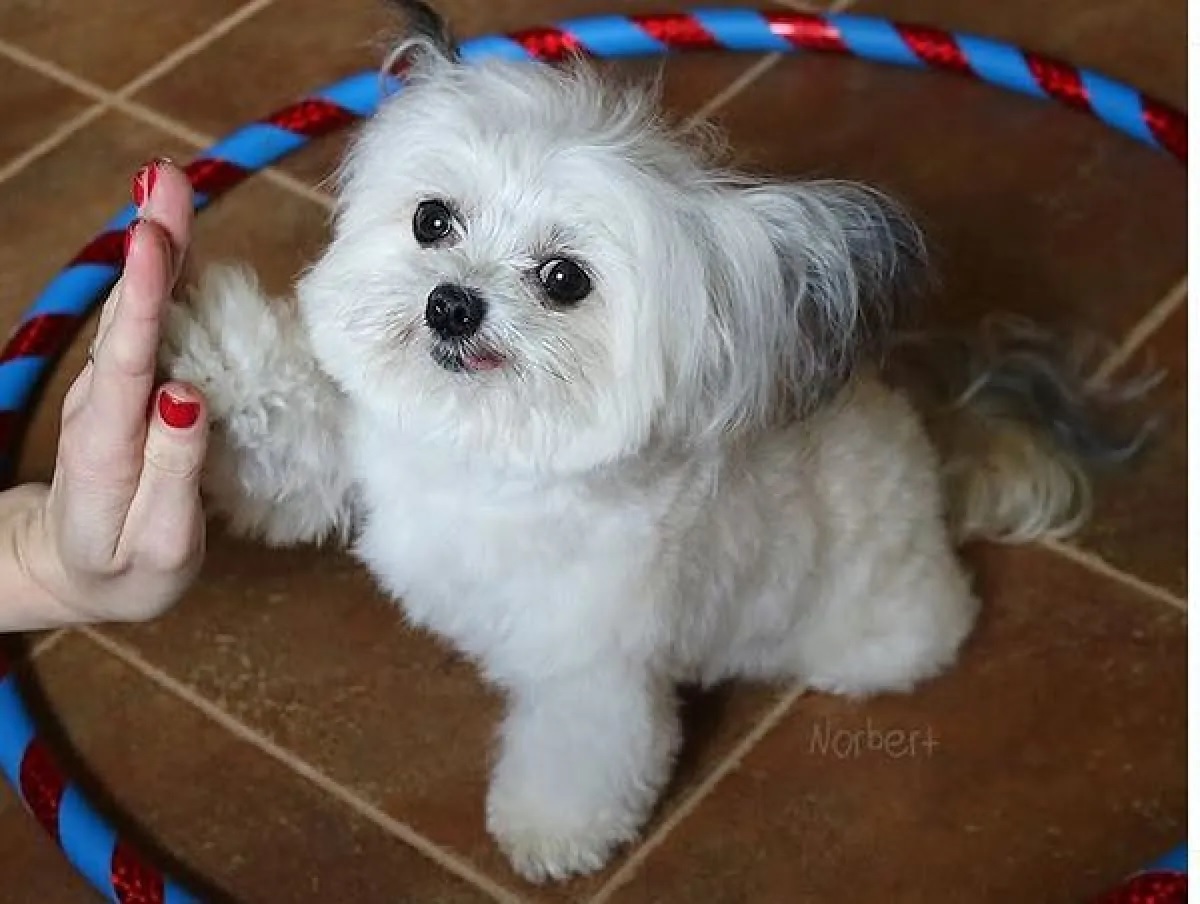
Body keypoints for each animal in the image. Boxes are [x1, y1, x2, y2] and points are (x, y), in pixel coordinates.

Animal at [162, 1, 1142, 883]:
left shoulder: (593, 669)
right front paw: (203, 358)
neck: (485, 454)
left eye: (565, 279)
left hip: (877, 630)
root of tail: (932, 432)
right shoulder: (363, 462)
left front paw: (549, 835)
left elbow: (582, 754)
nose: (450, 304)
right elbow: (287, 454)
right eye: (431, 220)